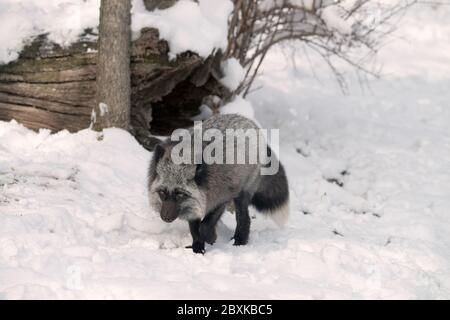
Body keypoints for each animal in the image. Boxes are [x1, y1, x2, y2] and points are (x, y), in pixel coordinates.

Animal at [148, 114, 288, 254]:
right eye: (162, 192)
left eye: (179, 194)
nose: (165, 217)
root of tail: (245, 118)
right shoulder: (195, 203)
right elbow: (194, 230)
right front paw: (198, 248)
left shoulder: (222, 198)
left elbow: (204, 226)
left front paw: (210, 238)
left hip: (242, 194)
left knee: (244, 219)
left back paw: (239, 241)